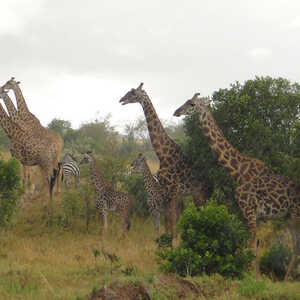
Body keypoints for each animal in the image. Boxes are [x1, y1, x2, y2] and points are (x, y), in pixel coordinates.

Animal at [119, 82, 209, 237]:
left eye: (133, 93)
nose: (121, 100)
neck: (163, 155)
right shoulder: (167, 192)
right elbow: (168, 223)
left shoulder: (172, 191)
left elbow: (171, 221)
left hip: (200, 194)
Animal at [172, 92, 300, 280]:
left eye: (192, 104)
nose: (176, 112)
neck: (237, 171)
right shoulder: (255, 216)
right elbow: (253, 245)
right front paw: (253, 275)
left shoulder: (249, 211)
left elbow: (252, 246)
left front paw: (256, 278)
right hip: (289, 218)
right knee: (296, 246)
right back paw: (286, 279)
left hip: (296, 216)